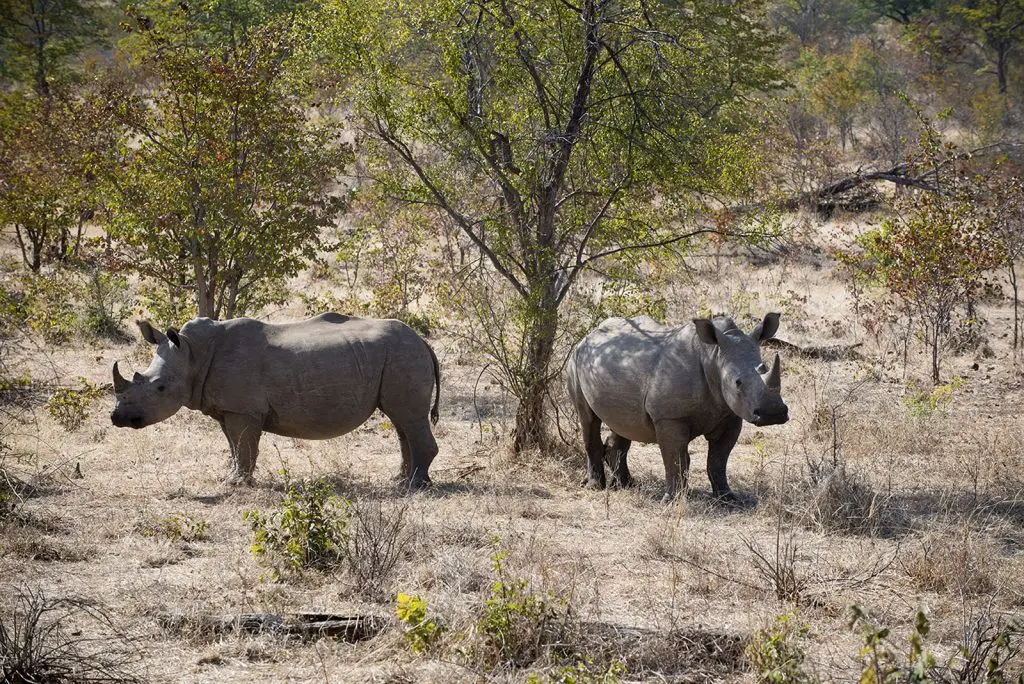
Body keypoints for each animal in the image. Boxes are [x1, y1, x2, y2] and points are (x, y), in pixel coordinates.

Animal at [111, 313, 440, 487]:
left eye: (160, 388)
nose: (117, 418)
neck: (193, 353)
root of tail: (424, 341)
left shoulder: (243, 409)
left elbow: (244, 445)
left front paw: (236, 484)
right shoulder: (227, 408)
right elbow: (235, 446)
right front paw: (233, 478)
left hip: (402, 355)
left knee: (408, 418)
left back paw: (414, 486)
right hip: (396, 356)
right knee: (401, 421)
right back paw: (400, 481)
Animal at [566, 313, 788, 502]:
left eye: (765, 369)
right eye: (737, 383)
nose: (773, 414)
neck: (713, 357)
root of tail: (589, 335)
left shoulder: (730, 416)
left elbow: (718, 460)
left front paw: (727, 498)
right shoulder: (669, 417)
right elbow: (675, 458)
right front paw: (672, 501)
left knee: (623, 422)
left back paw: (628, 485)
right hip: (576, 360)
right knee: (588, 419)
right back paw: (595, 487)